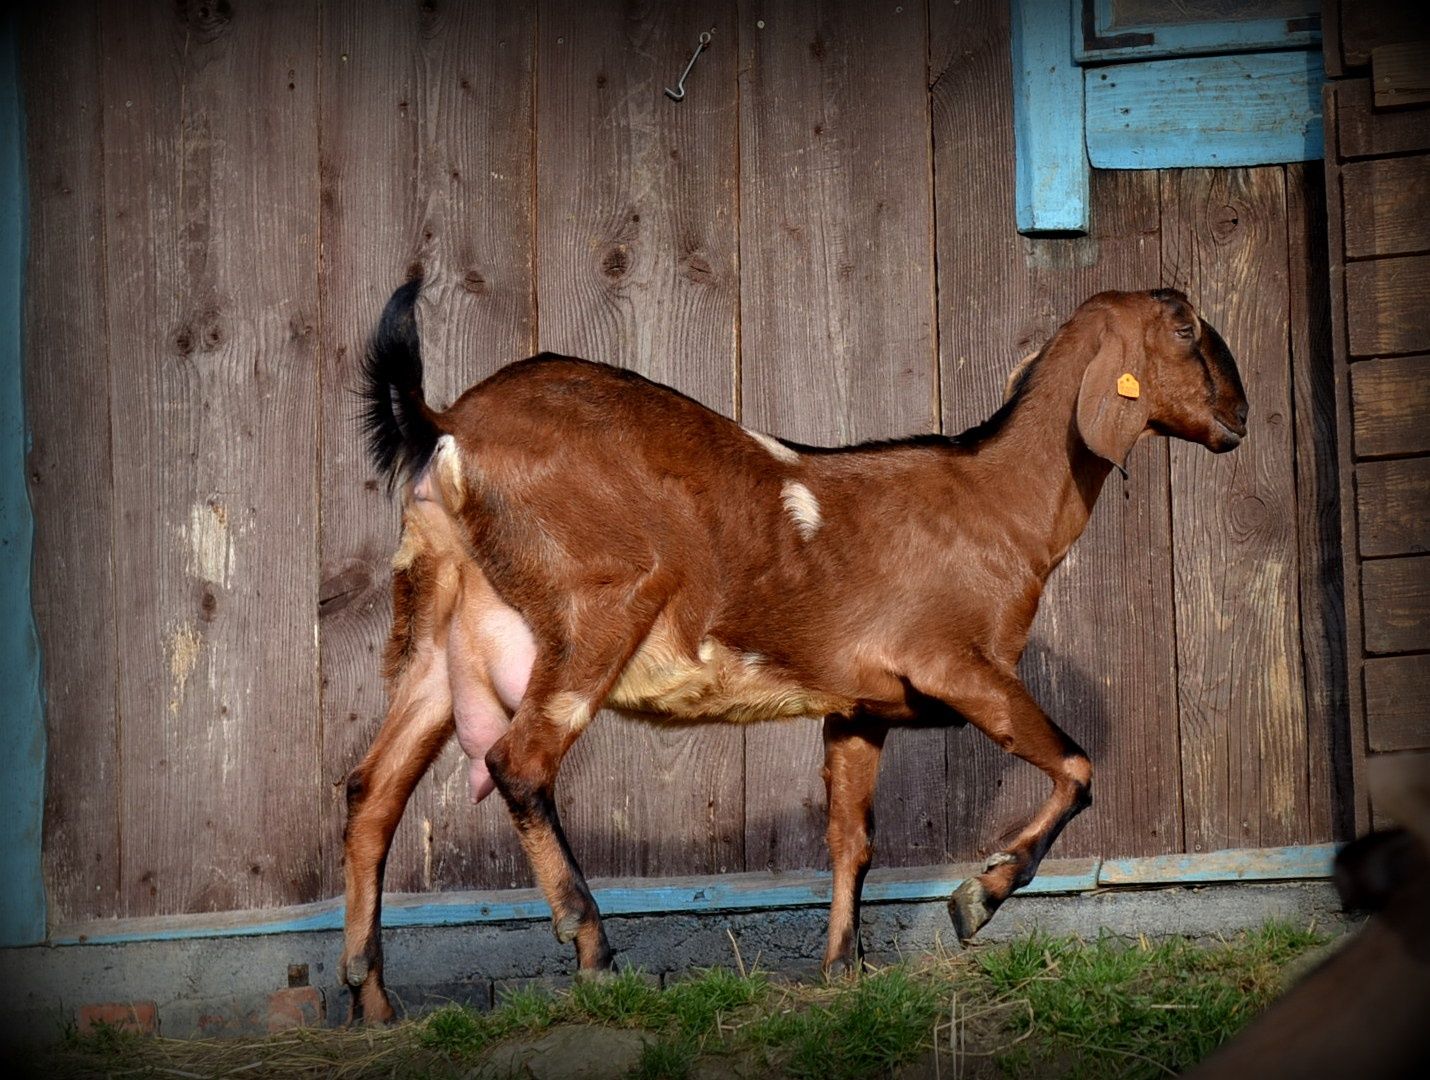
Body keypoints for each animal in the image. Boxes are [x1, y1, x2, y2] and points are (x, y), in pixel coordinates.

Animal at [340, 280, 1246, 1024]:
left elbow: (852, 839)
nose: (1240, 417)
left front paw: (841, 968)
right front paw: (974, 899)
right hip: (596, 608)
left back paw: (373, 1002)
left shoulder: (859, 707)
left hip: (437, 626)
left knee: (373, 790)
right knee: (518, 761)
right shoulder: (958, 666)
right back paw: (593, 953)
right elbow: (1077, 765)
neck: (999, 505)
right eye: (1185, 328)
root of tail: (451, 424)